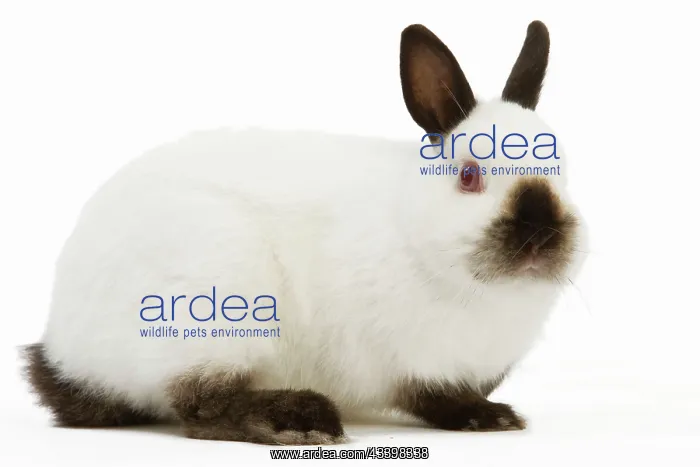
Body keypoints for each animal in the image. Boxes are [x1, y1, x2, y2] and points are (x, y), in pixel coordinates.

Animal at [22, 20, 587, 445]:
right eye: (469, 177)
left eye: (561, 171)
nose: (539, 236)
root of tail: (64, 354)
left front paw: (491, 417)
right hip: (215, 312)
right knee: (200, 406)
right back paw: (300, 421)